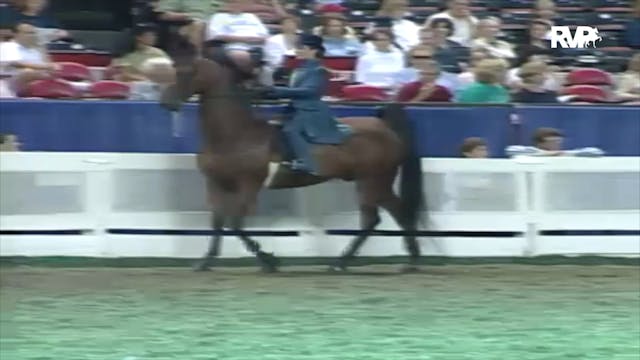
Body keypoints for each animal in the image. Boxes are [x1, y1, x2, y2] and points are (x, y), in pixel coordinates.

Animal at [160, 35, 430, 272]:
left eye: (187, 72)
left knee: (374, 218)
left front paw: (269, 261)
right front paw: (205, 262)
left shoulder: (248, 184)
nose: (166, 102)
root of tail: (383, 125)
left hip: (372, 181)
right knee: (395, 212)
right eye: (173, 68)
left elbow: (235, 223)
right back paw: (408, 260)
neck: (234, 134)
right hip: (375, 182)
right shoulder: (216, 184)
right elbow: (218, 223)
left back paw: (343, 263)